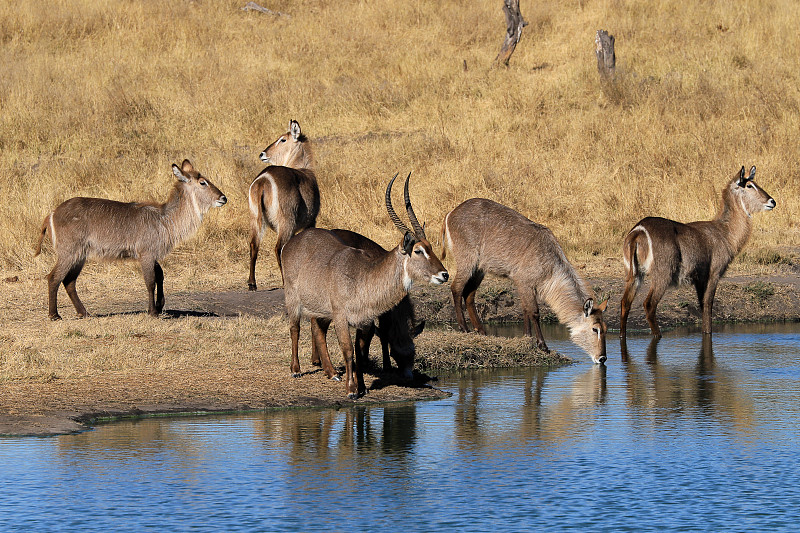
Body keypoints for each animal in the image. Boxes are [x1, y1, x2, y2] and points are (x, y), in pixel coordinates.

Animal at [34, 159, 227, 320]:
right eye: (203, 182)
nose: (223, 198)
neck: (165, 219)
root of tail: (51, 213)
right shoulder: (146, 254)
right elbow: (150, 281)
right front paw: (153, 312)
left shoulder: (152, 255)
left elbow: (161, 275)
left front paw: (159, 306)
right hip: (69, 252)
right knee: (53, 277)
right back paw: (54, 315)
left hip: (80, 255)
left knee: (69, 281)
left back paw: (84, 313)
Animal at [247, 119, 318, 290]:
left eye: (283, 139)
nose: (262, 154)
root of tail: (264, 179)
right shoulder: (311, 221)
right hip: (286, 221)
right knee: (279, 248)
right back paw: (285, 282)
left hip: (256, 218)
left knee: (253, 245)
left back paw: (252, 284)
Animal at [280, 172, 450, 396]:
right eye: (418, 250)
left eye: (430, 247)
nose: (444, 274)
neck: (364, 277)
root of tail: (293, 242)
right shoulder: (341, 318)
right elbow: (348, 350)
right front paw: (352, 389)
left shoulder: (365, 322)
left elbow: (360, 353)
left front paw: (361, 386)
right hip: (293, 299)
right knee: (295, 328)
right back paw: (296, 370)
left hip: (320, 310)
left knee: (317, 330)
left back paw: (331, 372)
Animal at [444, 197, 608, 364]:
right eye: (595, 329)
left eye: (605, 329)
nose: (602, 358)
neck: (551, 263)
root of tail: (452, 212)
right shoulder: (524, 282)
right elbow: (534, 312)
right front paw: (542, 346)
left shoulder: (526, 285)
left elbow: (525, 309)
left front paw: (527, 337)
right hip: (467, 260)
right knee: (456, 288)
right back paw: (464, 328)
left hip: (479, 268)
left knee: (469, 294)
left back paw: (482, 331)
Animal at [620, 164, 776, 336]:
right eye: (749, 185)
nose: (772, 201)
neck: (725, 232)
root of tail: (639, 230)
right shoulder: (714, 274)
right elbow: (708, 306)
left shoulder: (699, 279)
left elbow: (702, 306)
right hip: (662, 275)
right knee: (649, 305)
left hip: (634, 275)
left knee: (625, 303)